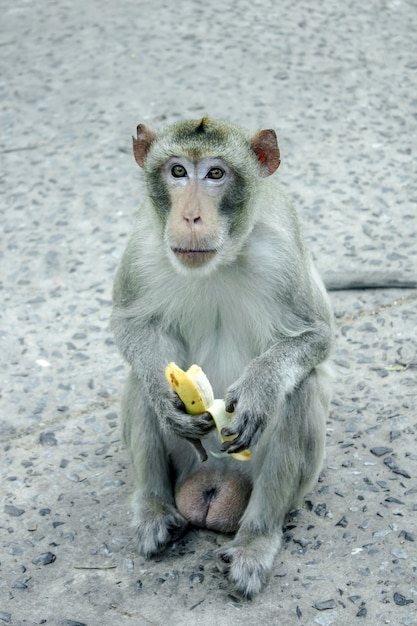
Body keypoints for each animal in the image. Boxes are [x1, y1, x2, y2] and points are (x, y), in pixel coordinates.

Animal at [112, 114, 334, 596]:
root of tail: (215, 480)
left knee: (301, 388)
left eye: (215, 173)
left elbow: (317, 336)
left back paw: (256, 539)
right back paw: (154, 508)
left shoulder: (284, 252)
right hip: (186, 459)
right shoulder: (141, 245)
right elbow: (129, 324)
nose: (191, 215)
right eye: (178, 171)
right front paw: (165, 398)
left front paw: (259, 388)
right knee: (138, 378)